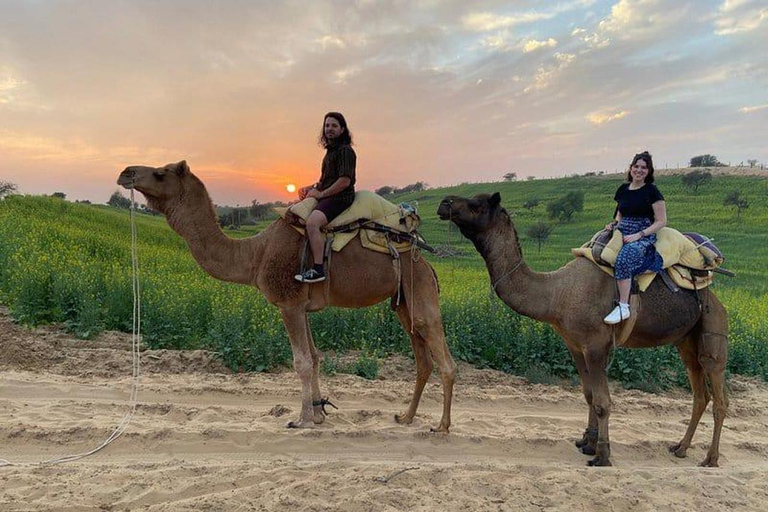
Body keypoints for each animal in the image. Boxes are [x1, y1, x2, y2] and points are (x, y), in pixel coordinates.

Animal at [118, 161, 456, 432]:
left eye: (160, 173)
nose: (126, 172)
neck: (255, 255)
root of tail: (427, 262)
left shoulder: (289, 304)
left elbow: (302, 361)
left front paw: (302, 419)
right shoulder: (303, 307)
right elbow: (316, 357)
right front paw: (318, 414)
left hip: (419, 286)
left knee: (441, 354)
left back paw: (441, 426)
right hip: (403, 301)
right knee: (422, 357)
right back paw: (406, 417)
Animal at [438, 193, 728, 468]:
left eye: (476, 205)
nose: (444, 203)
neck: (556, 294)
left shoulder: (597, 346)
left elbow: (602, 402)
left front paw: (602, 455)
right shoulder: (575, 346)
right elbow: (589, 395)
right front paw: (587, 442)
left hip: (713, 330)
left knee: (718, 394)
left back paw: (711, 459)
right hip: (686, 342)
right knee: (700, 395)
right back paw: (680, 448)